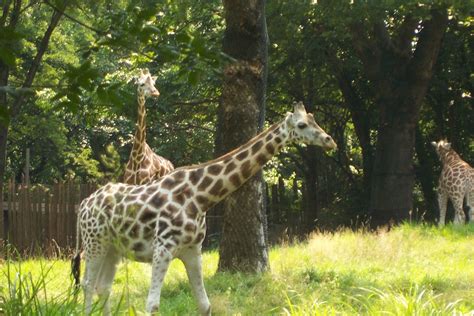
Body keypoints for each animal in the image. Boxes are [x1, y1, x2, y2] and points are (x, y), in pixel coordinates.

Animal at [70, 102, 336, 314]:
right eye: (301, 125)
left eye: (314, 119)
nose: (329, 140)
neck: (201, 197)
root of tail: (83, 204)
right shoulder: (163, 248)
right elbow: (152, 305)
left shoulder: (192, 250)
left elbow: (204, 305)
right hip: (94, 243)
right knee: (87, 284)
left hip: (113, 248)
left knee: (102, 286)